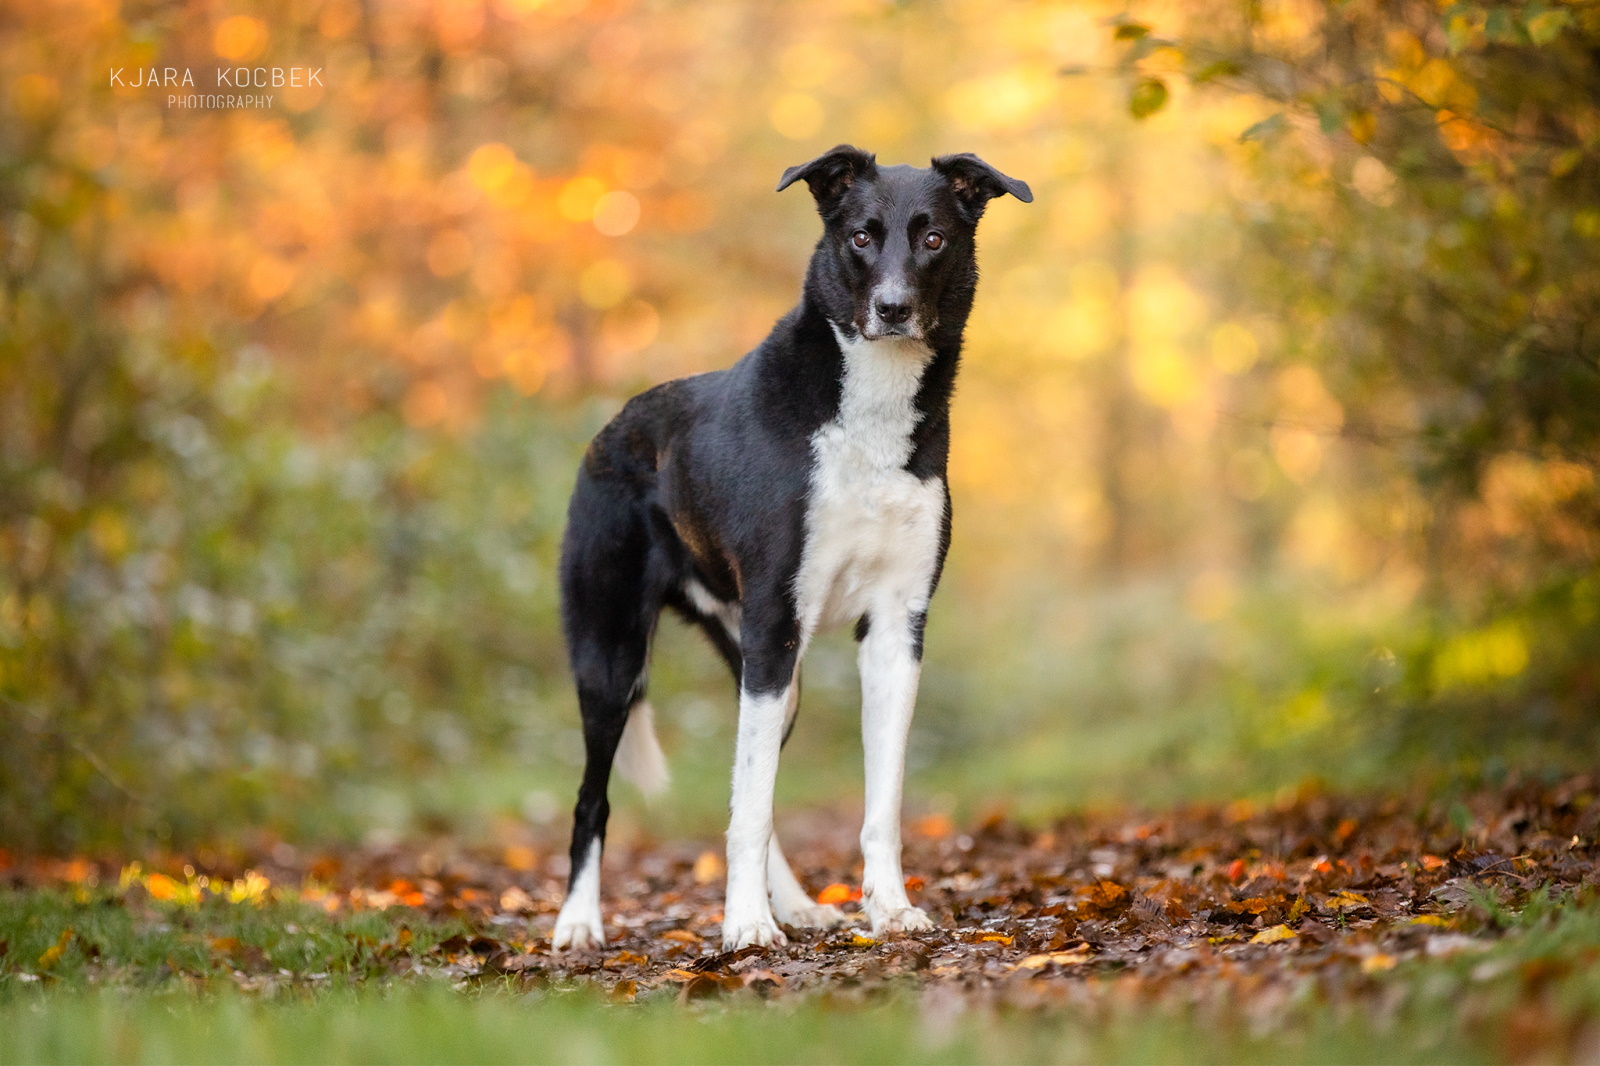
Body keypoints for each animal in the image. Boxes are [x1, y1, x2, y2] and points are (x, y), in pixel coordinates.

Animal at [547, 145, 1024, 947]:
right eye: (861, 237)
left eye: (933, 239)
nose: (892, 308)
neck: (866, 413)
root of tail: (610, 429)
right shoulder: (774, 619)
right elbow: (751, 805)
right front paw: (745, 927)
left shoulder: (895, 629)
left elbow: (875, 802)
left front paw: (888, 908)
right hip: (614, 657)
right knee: (594, 799)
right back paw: (580, 923)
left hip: (773, 674)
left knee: (745, 785)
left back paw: (795, 904)